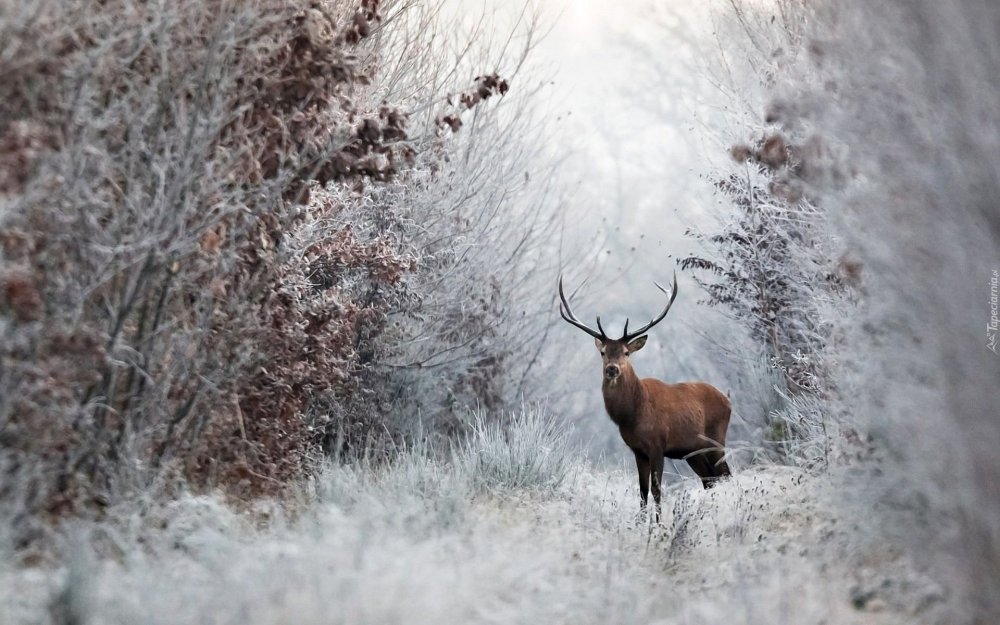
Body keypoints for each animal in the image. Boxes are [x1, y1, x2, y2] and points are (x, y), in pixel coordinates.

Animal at [560, 272, 732, 520]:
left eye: (626, 352)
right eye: (603, 352)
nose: (612, 369)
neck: (633, 414)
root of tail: (728, 399)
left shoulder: (658, 445)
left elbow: (656, 490)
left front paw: (658, 524)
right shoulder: (637, 450)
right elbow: (642, 491)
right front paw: (641, 523)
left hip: (716, 439)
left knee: (725, 476)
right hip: (693, 452)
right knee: (710, 480)